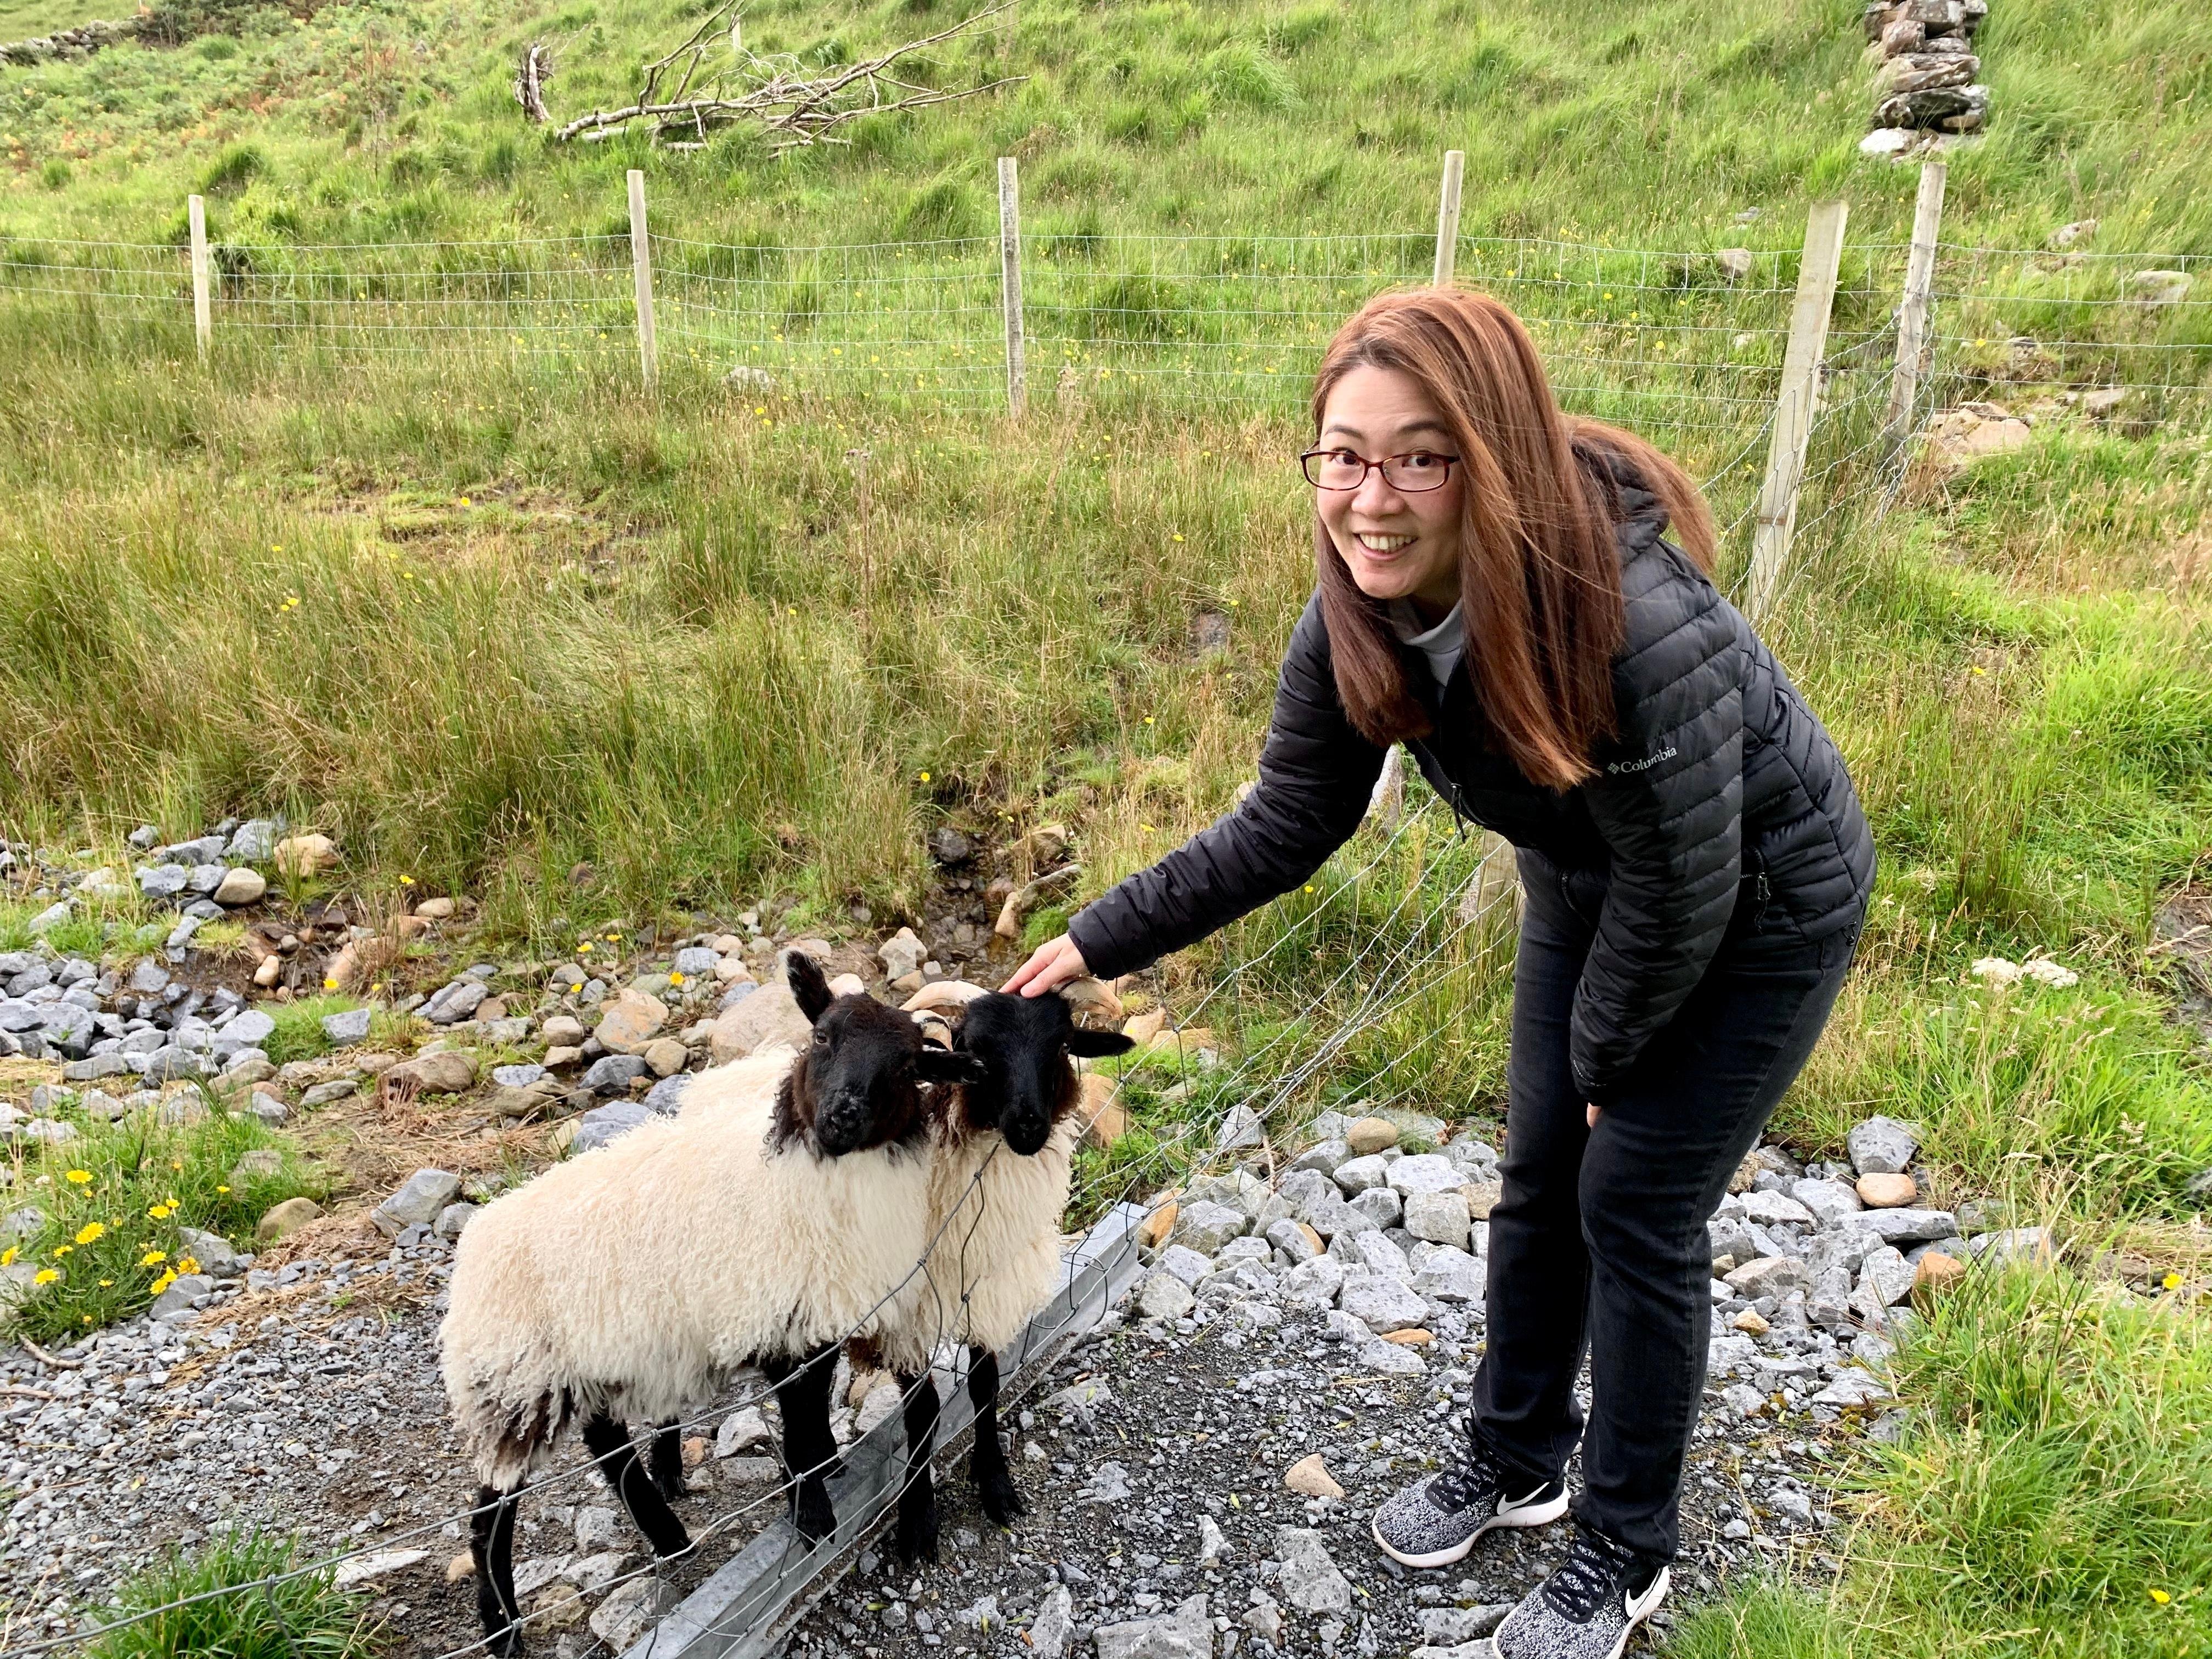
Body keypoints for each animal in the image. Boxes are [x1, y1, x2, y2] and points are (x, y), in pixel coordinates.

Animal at [440, 955, 978, 1654]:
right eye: (822, 1036)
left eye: (910, 1065)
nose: (842, 1118)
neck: (783, 1179)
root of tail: (475, 1244)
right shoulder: (779, 1321)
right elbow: (799, 1420)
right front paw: (812, 1511)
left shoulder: (818, 1314)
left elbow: (822, 1407)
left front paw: (828, 1470)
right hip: (514, 1385)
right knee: (490, 1517)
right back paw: (501, 1628)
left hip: (584, 1363)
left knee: (606, 1441)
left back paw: (667, 1534)